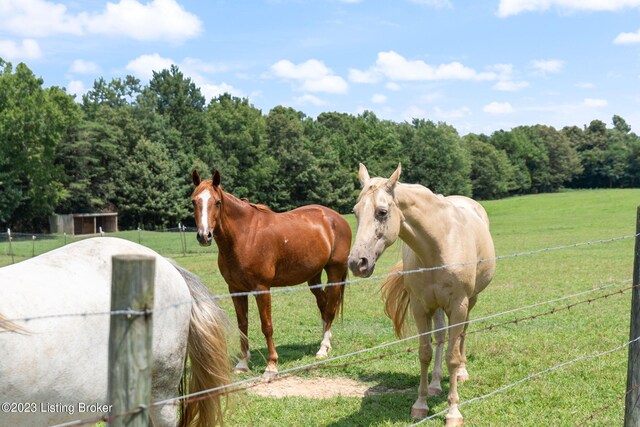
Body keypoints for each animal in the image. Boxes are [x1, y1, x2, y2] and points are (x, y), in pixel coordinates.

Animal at [192, 171, 352, 378]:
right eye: (194, 201)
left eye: (217, 202)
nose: (204, 236)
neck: (245, 236)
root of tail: (337, 218)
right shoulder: (235, 289)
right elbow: (242, 325)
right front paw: (243, 363)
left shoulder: (262, 289)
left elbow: (267, 326)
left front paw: (271, 365)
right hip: (313, 277)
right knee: (324, 305)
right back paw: (327, 342)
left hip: (334, 272)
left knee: (331, 308)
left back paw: (323, 349)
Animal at [350, 165, 496, 427]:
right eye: (355, 212)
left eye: (382, 212)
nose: (358, 263)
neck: (440, 242)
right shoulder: (420, 307)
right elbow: (425, 353)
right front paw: (421, 404)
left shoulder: (458, 306)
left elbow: (452, 357)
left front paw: (453, 411)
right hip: (436, 306)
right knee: (440, 337)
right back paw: (436, 384)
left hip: (470, 302)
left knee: (462, 334)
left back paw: (462, 373)